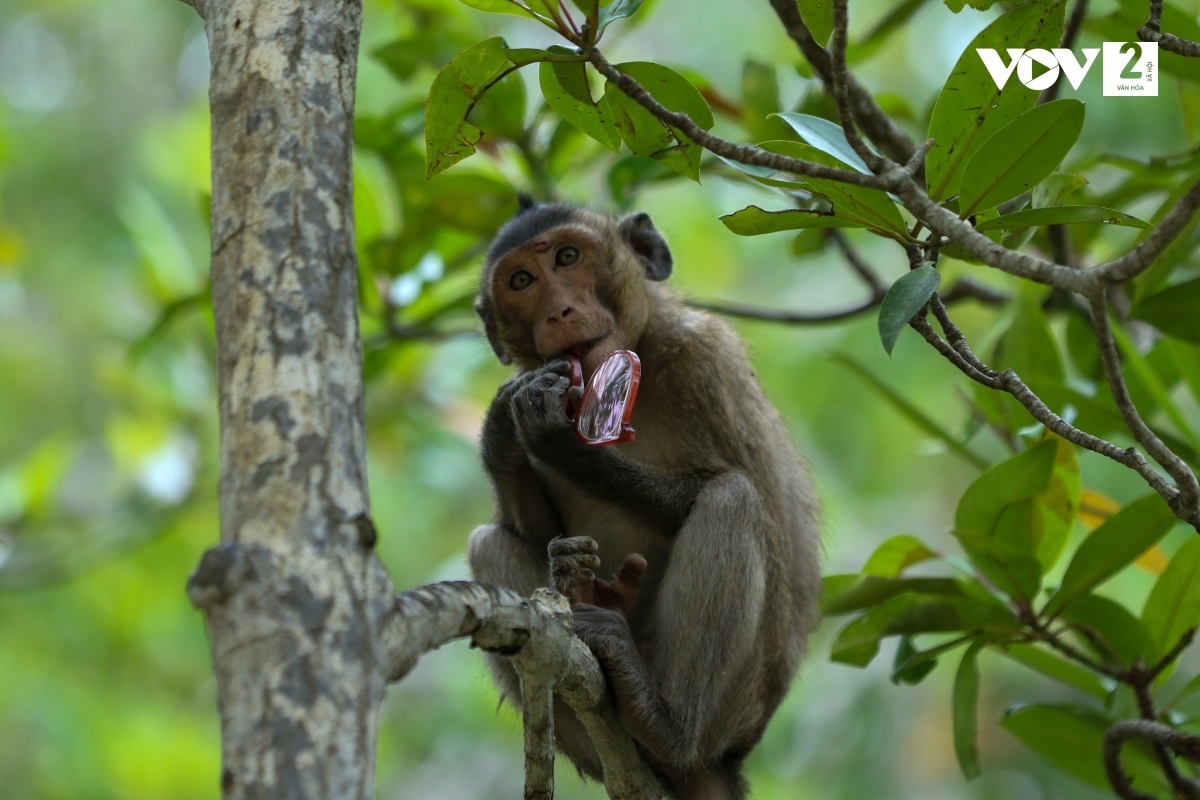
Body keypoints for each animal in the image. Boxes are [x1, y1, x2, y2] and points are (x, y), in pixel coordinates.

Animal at [463, 199, 820, 800]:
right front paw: (500, 437)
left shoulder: (704, 358)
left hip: (742, 706)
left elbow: (760, 498)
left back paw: (665, 724)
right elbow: (533, 528)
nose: (559, 311)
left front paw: (565, 446)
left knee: (732, 498)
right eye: (521, 281)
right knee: (487, 543)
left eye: (567, 257)